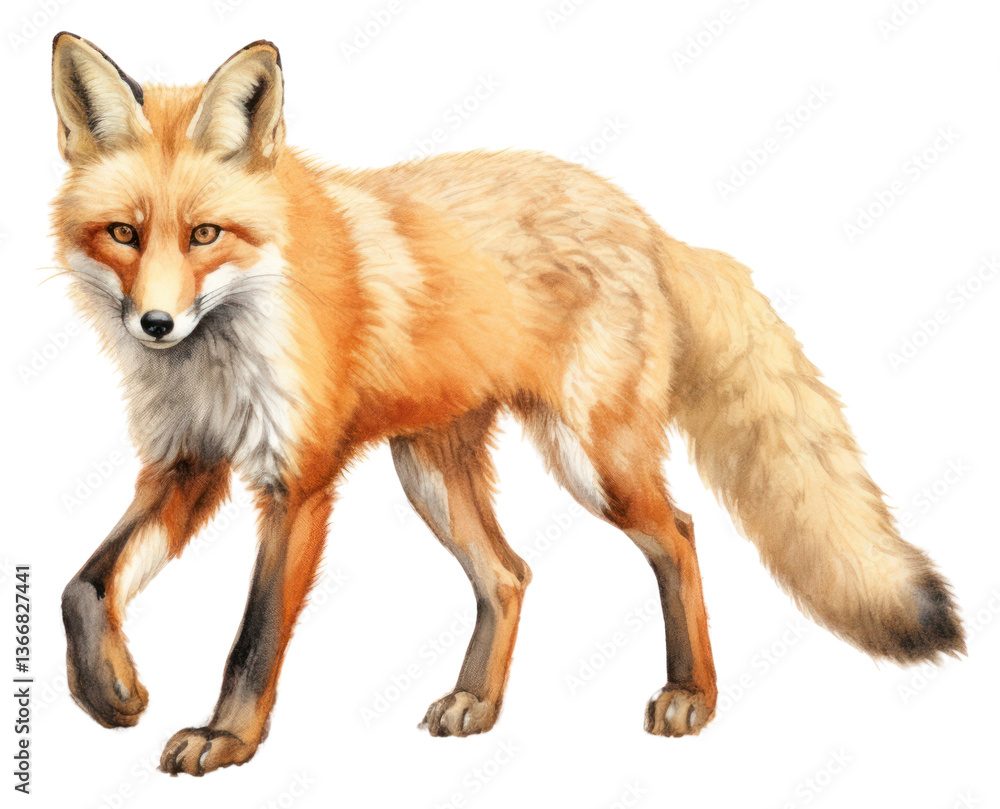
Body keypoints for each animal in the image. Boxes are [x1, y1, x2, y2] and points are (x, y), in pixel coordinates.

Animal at [50, 32, 964, 777]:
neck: (219, 351)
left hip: (592, 460)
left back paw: (691, 694)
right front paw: (111, 690)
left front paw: (227, 739)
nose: (155, 324)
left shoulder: (297, 482)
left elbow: (253, 637)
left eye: (205, 235)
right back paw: (480, 703)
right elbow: (86, 587)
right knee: (510, 572)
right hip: (430, 471)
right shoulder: (188, 462)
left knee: (679, 534)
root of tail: (645, 221)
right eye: (124, 234)